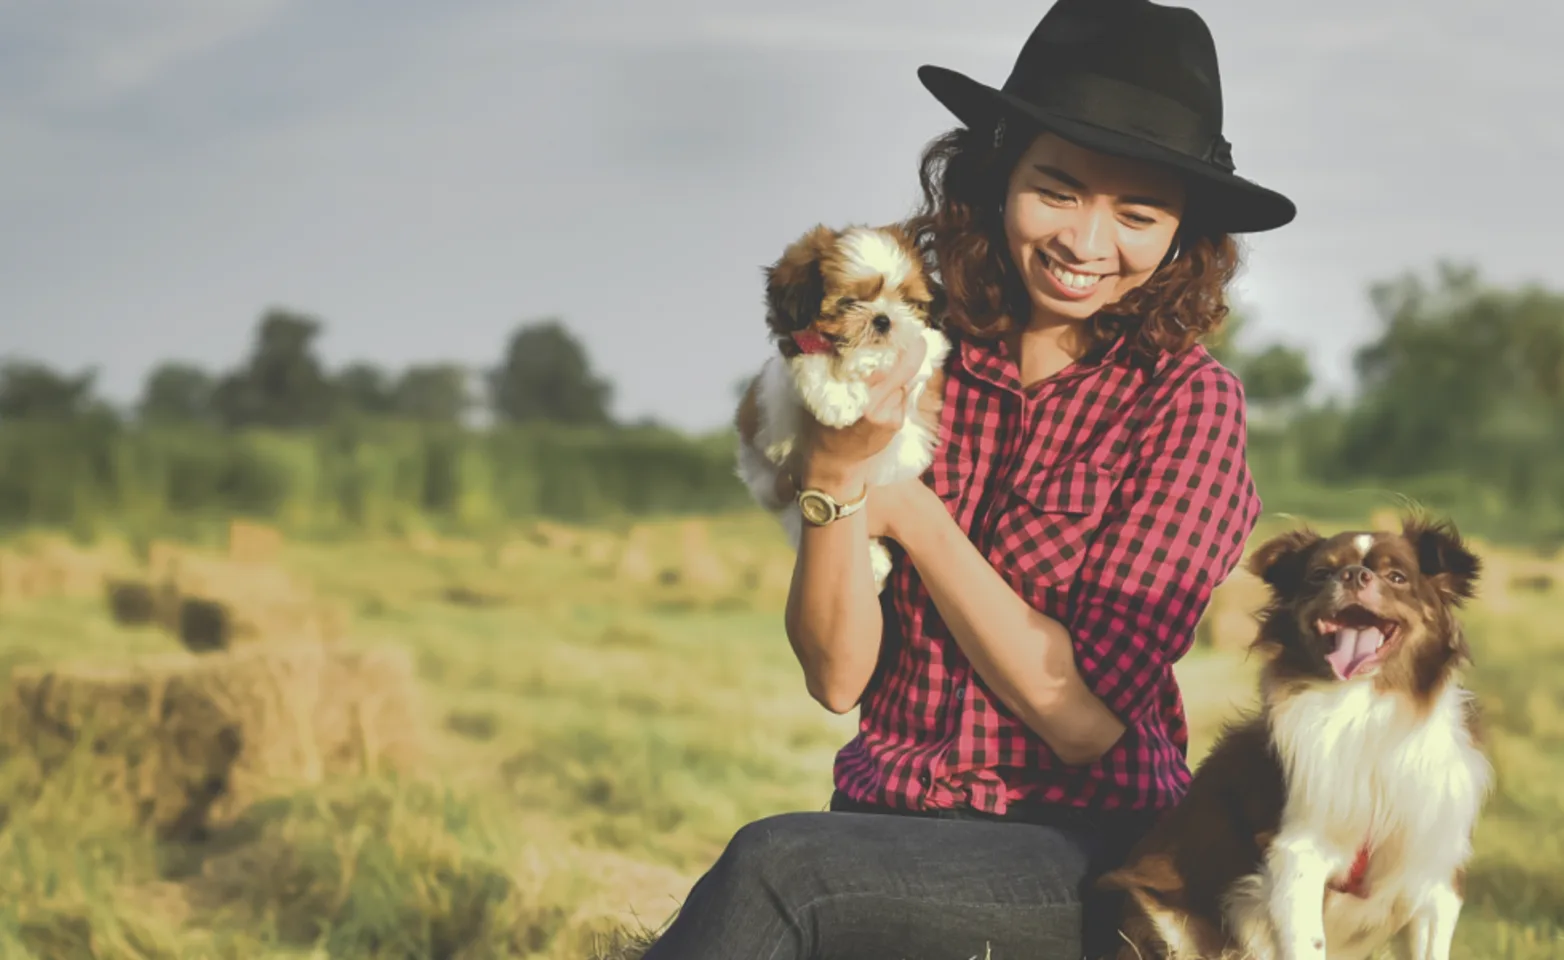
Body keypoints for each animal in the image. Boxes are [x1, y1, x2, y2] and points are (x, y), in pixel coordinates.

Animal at [735, 223, 950, 591]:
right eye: (849, 302)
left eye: (905, 299)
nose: (883, 320)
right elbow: (811, 359)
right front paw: (836, 398)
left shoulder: (924, 347)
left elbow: (914, 345)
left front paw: (866, 361)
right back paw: (874, 560)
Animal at [1101, 519, 1488, 960]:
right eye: (1320, 574)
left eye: (1397, 577)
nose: (1354, 575)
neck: (1365, 705)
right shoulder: (1297, 857)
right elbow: (1308, 942)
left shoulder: (1436, 875)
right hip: (1165, 922)